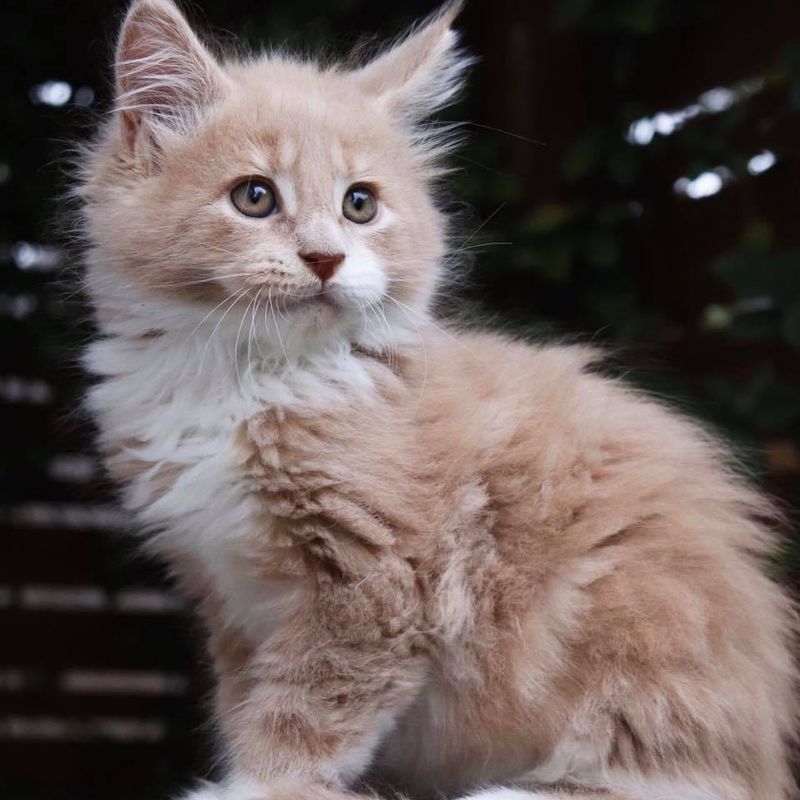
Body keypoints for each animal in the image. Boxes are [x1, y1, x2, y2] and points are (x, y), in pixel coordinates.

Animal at [78, 1, 796, 800]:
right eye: (254, 197)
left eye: (359, 204)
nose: (326, 258)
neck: (251, 377)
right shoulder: (227, 595)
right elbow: (246, 702)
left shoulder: (377, 582)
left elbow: (306, 710)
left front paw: (257, 786)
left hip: (639, 634)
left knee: (678, 775)